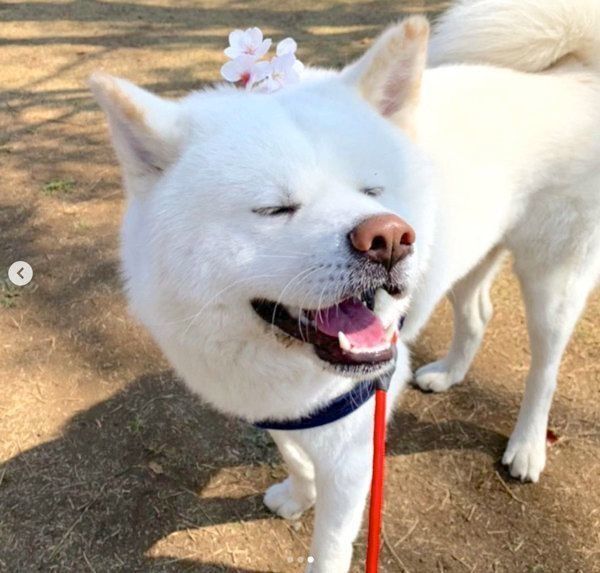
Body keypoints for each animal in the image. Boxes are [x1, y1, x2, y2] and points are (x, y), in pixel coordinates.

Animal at [90, 2, 600, 568]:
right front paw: (298, 494)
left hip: (553, 278)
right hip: (471, 255)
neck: (282, 363)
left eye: (372, 190)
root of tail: (571, 75)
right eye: (275, 209)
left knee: (545, 368)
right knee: (478, 314)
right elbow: (293, 455)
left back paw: (527, 448)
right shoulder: (284, 413)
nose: (390, 238)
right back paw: (448, 374)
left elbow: (331, 548)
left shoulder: (355, 450)